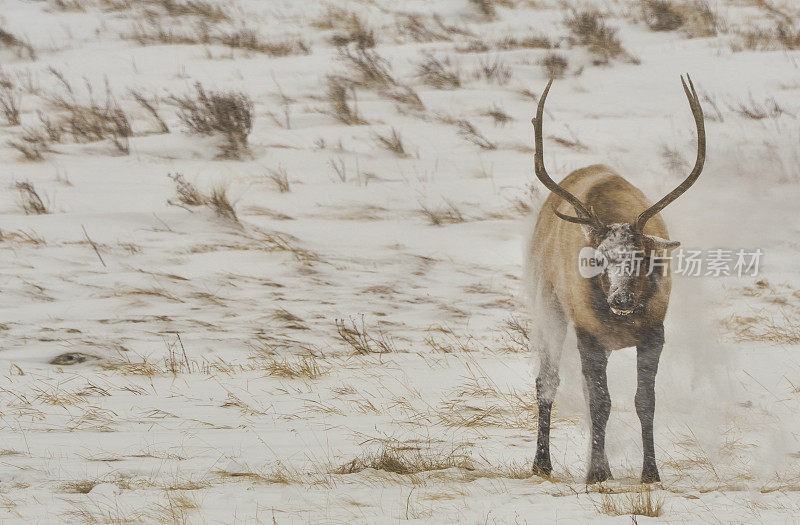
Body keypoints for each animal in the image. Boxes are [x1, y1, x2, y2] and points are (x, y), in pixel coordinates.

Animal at [524, 74, 708, 484]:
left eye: (641, 258)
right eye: (598, 260)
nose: (620, 300)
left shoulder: (655, 333)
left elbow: (645, 402)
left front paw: (650, 473)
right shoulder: (588, 333)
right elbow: (601, 401)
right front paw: (596, 473)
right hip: (548, 304)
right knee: (548, 381)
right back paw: (542, 463)